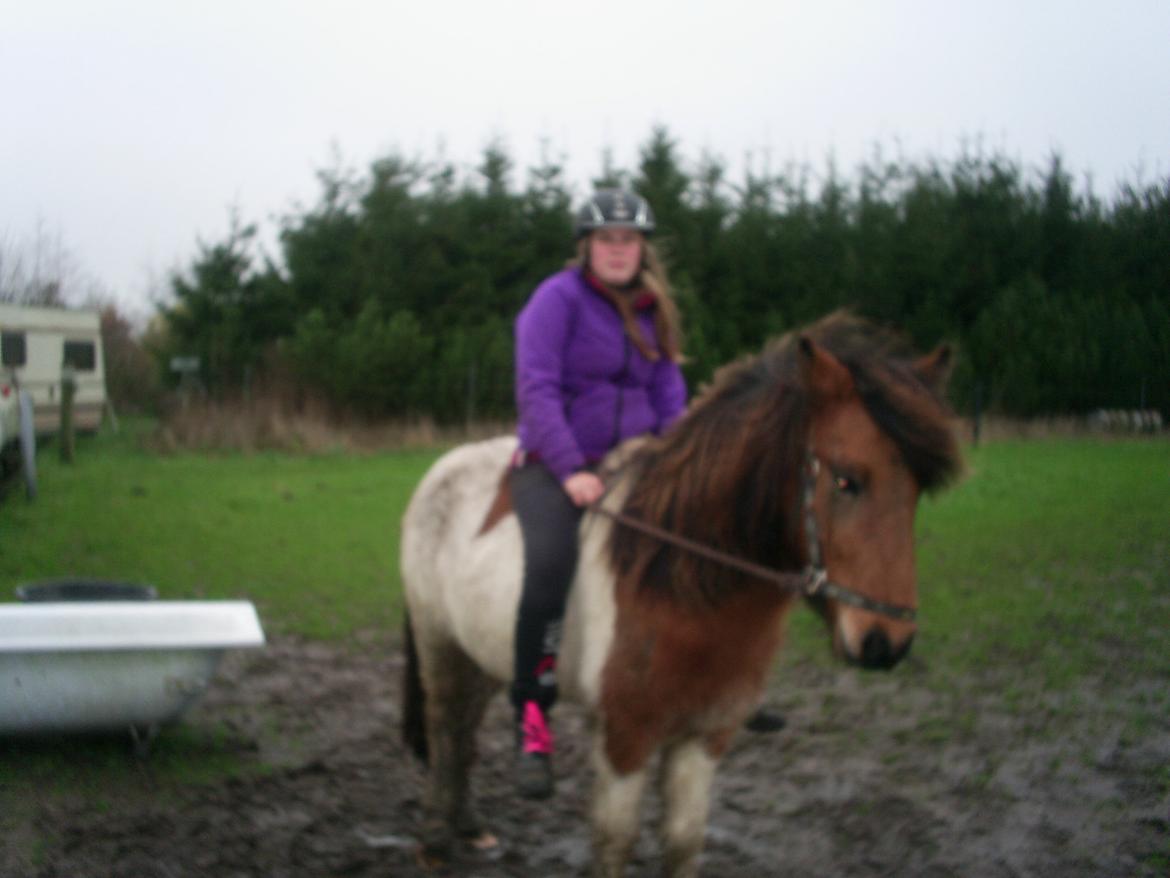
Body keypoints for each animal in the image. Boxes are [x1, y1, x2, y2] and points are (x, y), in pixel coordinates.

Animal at [397, 313, 964, 875]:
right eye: (847, 481)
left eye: (916, 490)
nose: (885, 642)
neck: (678, 586)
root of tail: (441, 470)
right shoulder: (625, 737)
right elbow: (615, 843)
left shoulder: (704, 737)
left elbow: (684, 840)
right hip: (439, 642)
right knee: (445, 727)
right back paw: (434, 837)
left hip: (484, 651)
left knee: (466, 730)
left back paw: (469, 825)